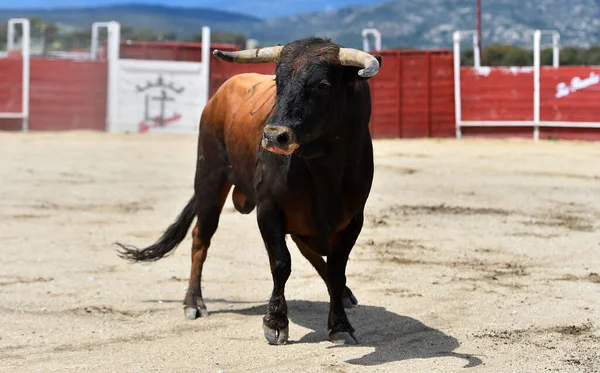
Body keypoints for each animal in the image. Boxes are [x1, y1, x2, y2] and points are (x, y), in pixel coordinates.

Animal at [115, 36, 382, 344]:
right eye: (278, 81)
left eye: (323, 84)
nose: (274, 136)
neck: (323, 168)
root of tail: (218, 97)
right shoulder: (268, 209)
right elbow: (281, 263)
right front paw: (276, 322)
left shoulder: (353, 219)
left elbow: (337, 270)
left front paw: (340, 324)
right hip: (209, 179)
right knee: (200, 238)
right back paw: (194, 303)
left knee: (308, 252)